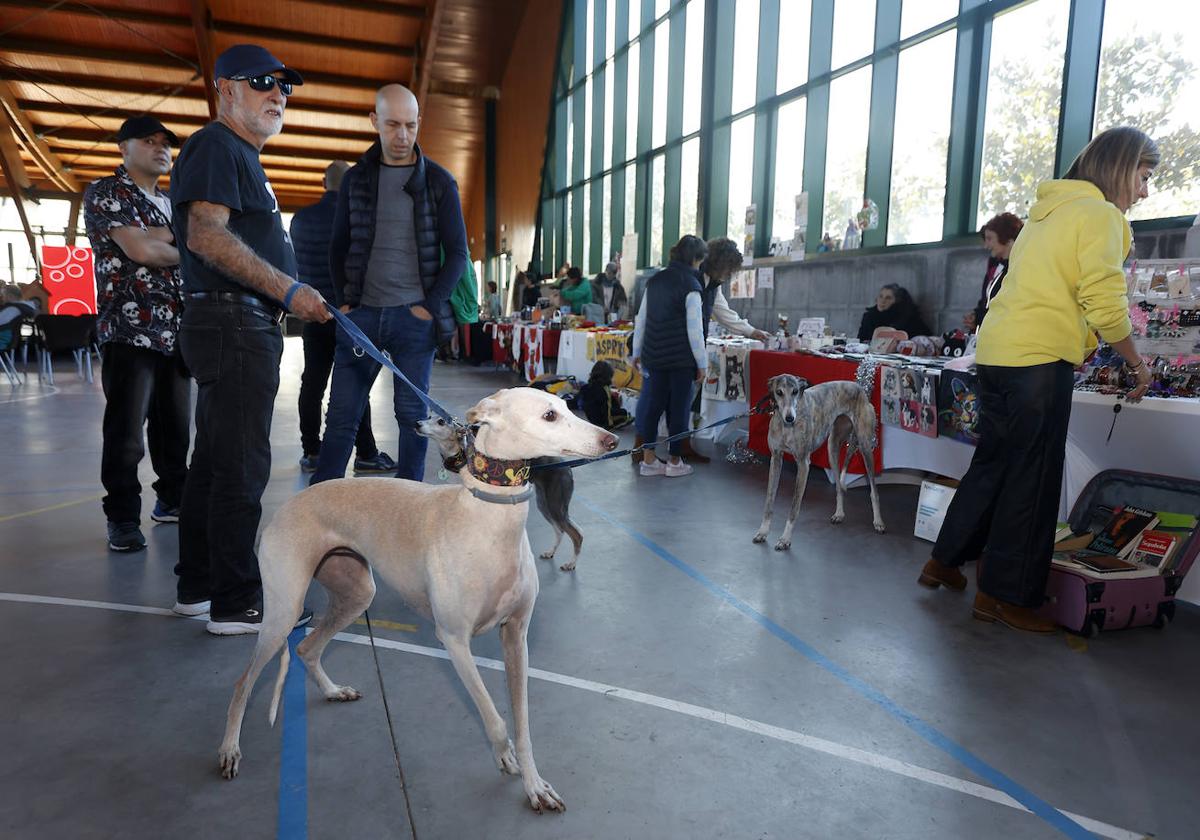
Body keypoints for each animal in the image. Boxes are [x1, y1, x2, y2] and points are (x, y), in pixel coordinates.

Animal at [417, 415, 585, 571]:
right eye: (428, 416)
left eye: (441, 422)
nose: (417, 424)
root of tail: (567, 467)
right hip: (544, 504)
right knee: (560, 530)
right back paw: (551, 552)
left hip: (555, 505)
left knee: (577, 535)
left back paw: (571, 564)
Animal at [753, 376, 888, 552]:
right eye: (779, 392)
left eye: (795, 391)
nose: (790, 418)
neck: (787, 427)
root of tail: (859, 388)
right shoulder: (775, 459)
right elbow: (769, 501)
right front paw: (763, 531)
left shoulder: (803, 463)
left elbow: (794, 508)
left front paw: (785, 539)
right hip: (832, 448)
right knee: (838, 486)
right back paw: (839, 514)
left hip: (865, 447)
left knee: (874, 490)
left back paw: (878, 522)